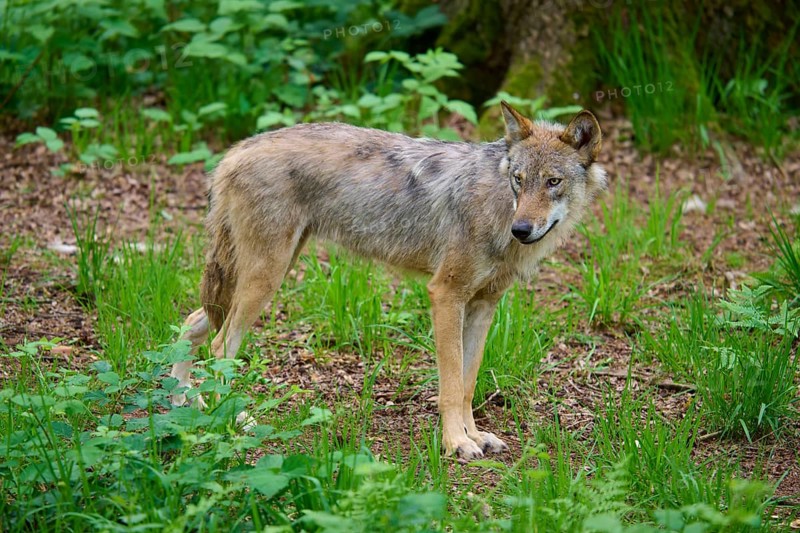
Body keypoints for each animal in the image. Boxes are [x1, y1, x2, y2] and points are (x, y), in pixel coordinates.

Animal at [170, 102, 607, 461]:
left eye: (552, 182)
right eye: (519, 179)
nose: (522, 229)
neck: (496, 207)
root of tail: (237, 148)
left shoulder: (483, 306)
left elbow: (467, 383)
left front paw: (476, 436)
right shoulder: (445, 295)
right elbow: (450, 385)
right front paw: (456, 442)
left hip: (260, 276)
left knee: (190, 322)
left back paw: (181, 402)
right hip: (266, 278)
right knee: (219, 346)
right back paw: (229, 418)